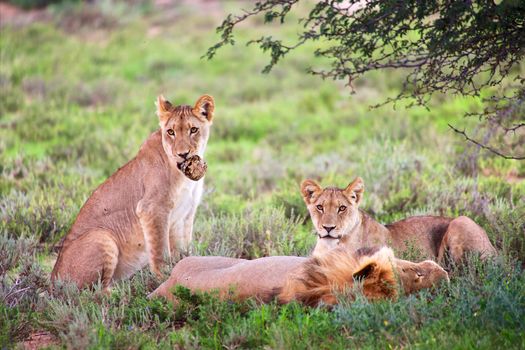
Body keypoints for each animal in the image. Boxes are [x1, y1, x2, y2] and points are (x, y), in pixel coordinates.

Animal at [51, 94, 215, 288]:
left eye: (194, 130)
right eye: (170, 132)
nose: (183, 154)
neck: (183, 176)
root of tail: (53, 279)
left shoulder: (186, 214)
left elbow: (184, 250)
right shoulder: (152, 208)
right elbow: (160, 251)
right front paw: (164, 279)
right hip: (102, 236)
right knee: (92, 290)